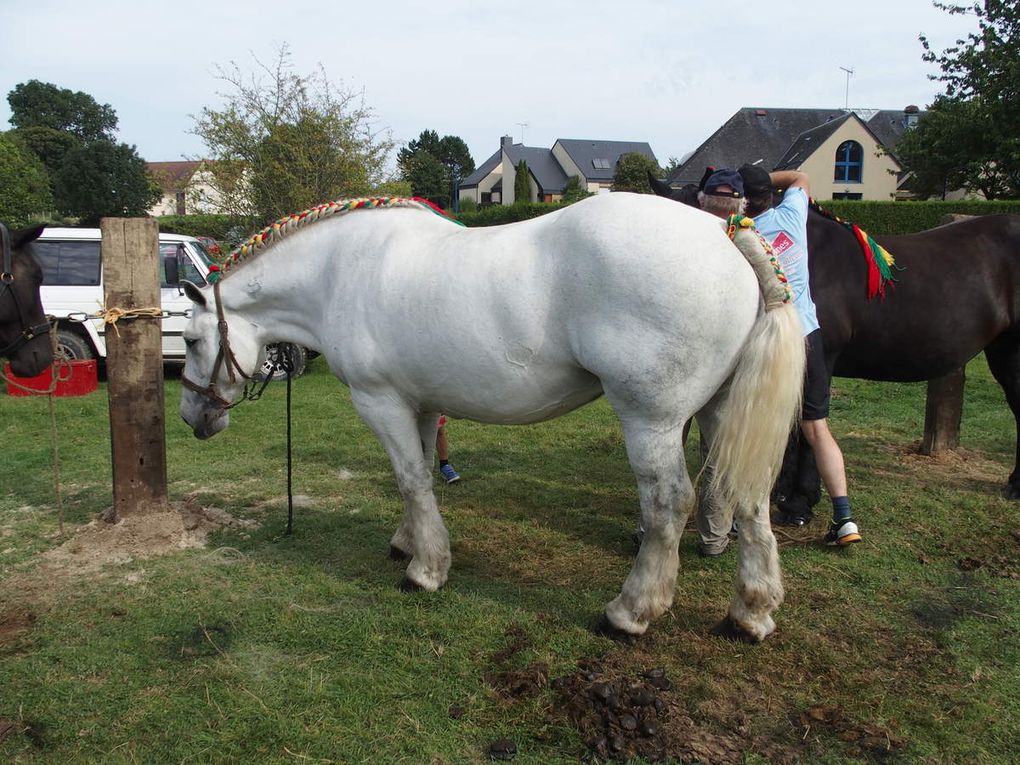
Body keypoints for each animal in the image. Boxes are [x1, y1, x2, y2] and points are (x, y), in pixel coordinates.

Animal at [181, 192, 803, 640]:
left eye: (188, 340)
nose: (192, 418)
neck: (340, 270)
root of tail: (723, 234)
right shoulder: (419, 404)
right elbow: (422, 477)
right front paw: (409, 543)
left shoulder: (379, 401)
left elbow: (409, 478)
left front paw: (426, 572)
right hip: (724, 413)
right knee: (747, 498)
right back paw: (750, 614)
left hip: (652, 420)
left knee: (669, 505)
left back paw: (630, 613)